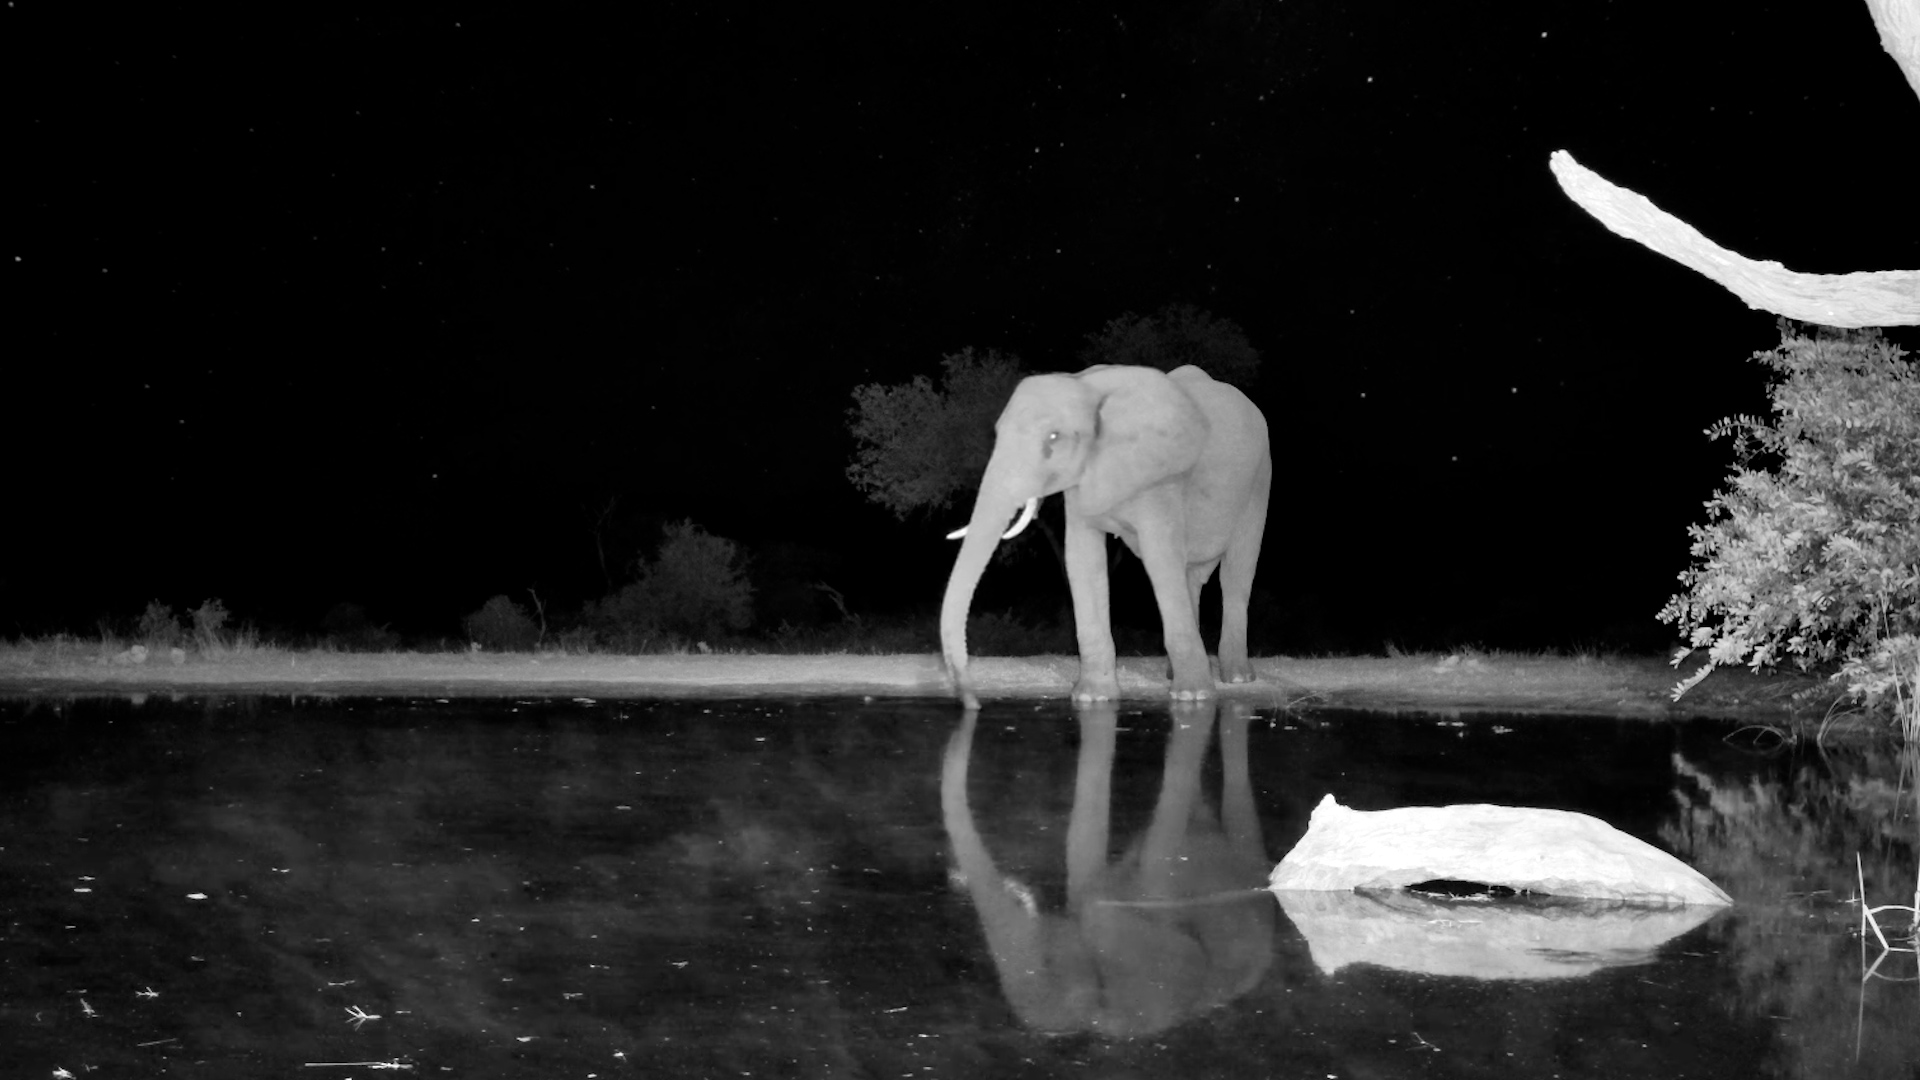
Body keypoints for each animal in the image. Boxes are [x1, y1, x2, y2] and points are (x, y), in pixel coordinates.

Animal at [940, 364, 1271, 706]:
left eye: (1054, 437)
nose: (972, 701)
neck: (1089, 387)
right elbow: (1083, 561)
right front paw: (1092, 698)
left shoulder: (1159, 476)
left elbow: (1161, 560)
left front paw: (1193, 697)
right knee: (1191, 576)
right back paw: (1175, 674)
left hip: (1259, 479)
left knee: (1235, 574)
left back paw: (1236, 678)